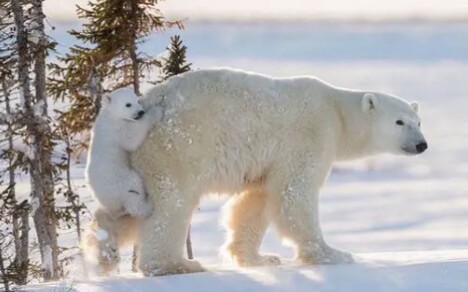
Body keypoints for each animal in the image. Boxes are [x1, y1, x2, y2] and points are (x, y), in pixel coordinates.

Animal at [129, 68, 428, 276]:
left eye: (418, 121)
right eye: (399, 121)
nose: (421, 144)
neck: (337, 112)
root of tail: (149, 101)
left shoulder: (266, 161)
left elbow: (256, 200)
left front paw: (260, 258)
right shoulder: (311, 134)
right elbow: (294, 193)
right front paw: (334, 254)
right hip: (178, 146)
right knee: (173, 204)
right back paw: (176, 265)